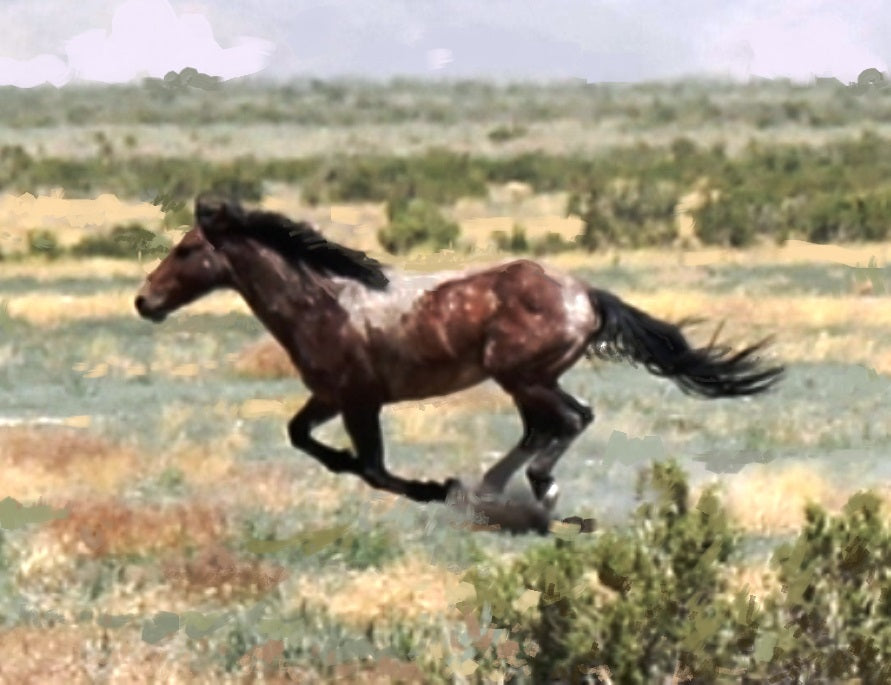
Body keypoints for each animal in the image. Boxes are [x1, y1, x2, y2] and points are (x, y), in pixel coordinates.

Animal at [135, 193, 784, 529]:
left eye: (187, 250)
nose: (145, 302)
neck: (325, 302)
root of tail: (586, 295)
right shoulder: (328, 398)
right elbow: (302, 437)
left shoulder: (359, 401)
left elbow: (374, 468)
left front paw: (432, 487)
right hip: (527, 380)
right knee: (547, 426)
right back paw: (496, 491)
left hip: (521, 374)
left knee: (570, 420)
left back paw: (532, 493)